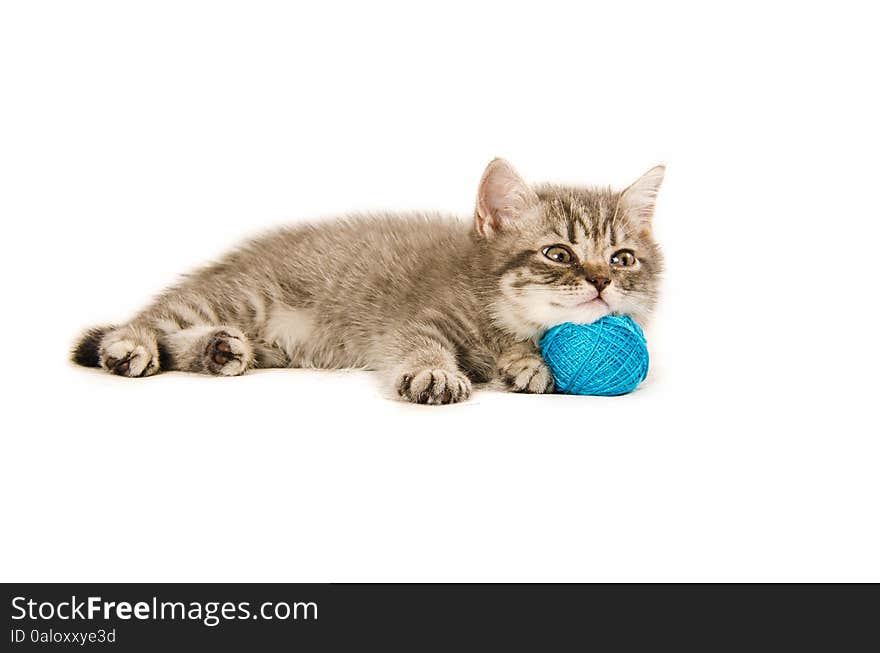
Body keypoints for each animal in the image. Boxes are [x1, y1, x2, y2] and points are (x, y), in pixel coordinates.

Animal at [72, 159, 664, 402]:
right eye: (558, 253)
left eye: (622, 259)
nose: (601, 282)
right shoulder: (418, 318)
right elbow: (419, 344)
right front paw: (435, 372)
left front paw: (528, 364)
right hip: (243, 296)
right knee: (153, 319)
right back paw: (131, 346)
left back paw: (219, 350)